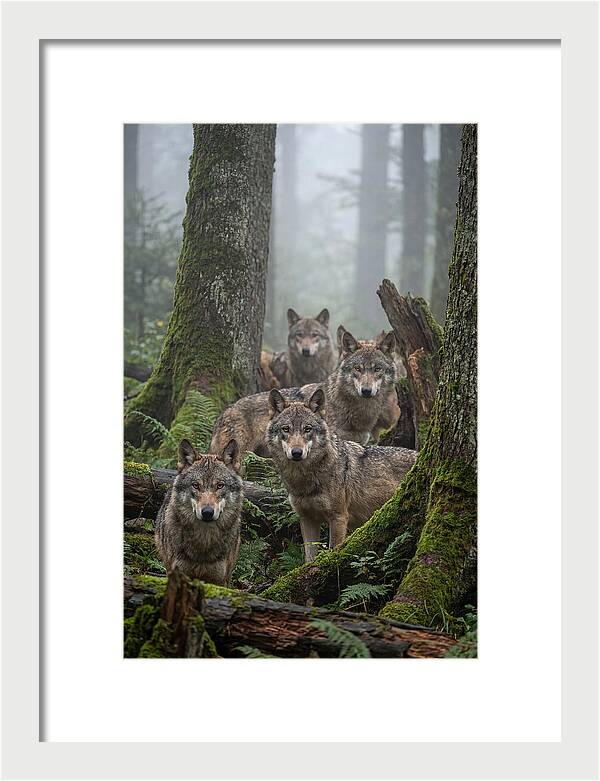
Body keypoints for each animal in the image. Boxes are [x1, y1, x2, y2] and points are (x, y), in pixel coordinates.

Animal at [266, 387, 416, 561]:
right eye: (286, 429)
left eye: (307, 429)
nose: (297, 453)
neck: (303, 480)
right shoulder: (307, 519)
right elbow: (309, 557)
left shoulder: (338, 518)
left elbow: (333, 550)